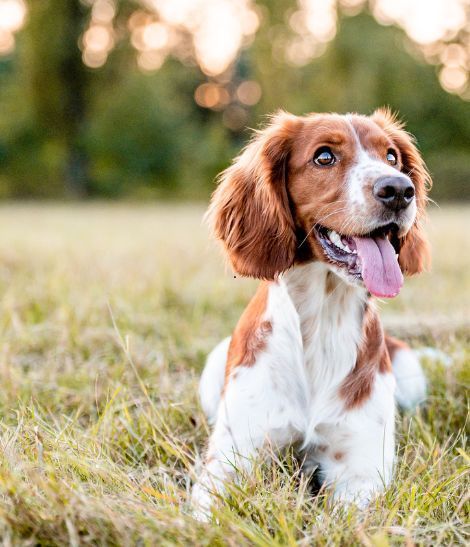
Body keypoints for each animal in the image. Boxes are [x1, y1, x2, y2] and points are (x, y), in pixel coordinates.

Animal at [191, 109, 430, 520]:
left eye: (392, 157)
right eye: (324, 157)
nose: (399, 190)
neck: (323, 321)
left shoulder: (361, 470)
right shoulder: (229, 459)